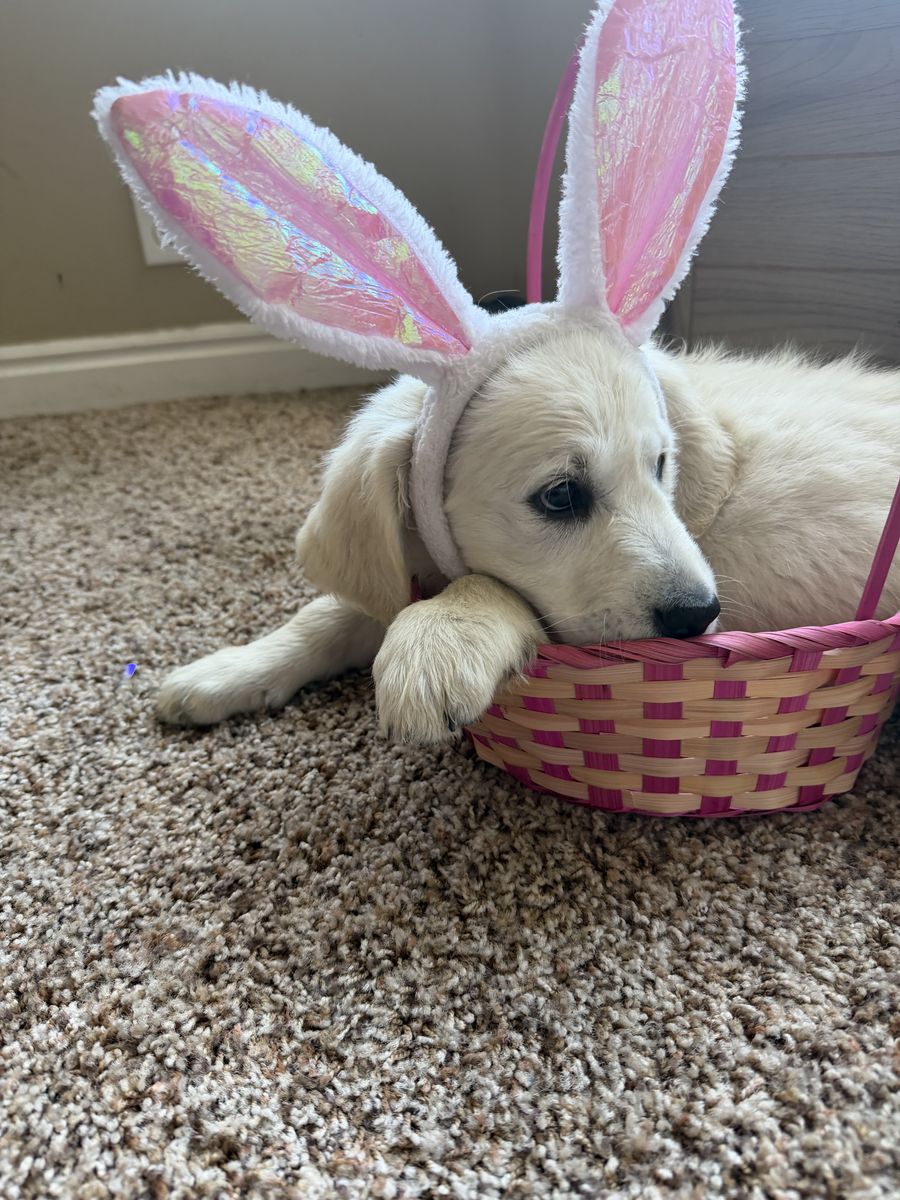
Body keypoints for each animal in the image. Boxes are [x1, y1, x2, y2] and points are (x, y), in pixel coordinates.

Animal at [156, 323, 900, 744]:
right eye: (561, 495)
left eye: (661, 465)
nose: (699, 615)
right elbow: (332, 614)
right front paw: (225, 673)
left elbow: (489, 588)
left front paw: (436, 642)